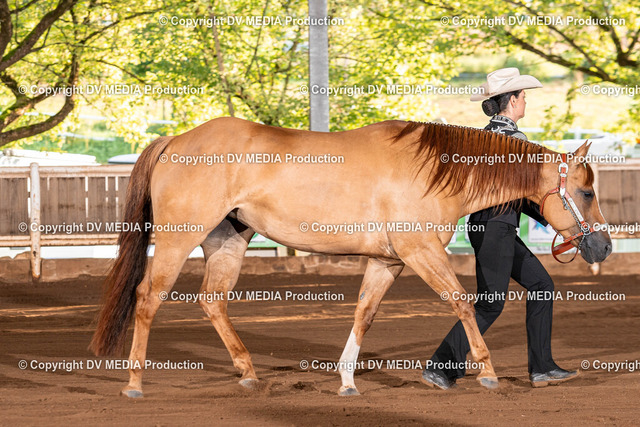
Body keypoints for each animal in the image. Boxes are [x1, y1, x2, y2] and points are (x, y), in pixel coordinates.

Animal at [89, 117, 612, 397]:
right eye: (585, 192)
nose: (603, 246)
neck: (433, 170)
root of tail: (175, 141)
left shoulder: (388, 262)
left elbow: (364, 314)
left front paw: (346, 382)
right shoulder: (421, 252)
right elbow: (463, 303)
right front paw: (485, 372)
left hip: (228, 241)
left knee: (212, 301)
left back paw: (249, 375)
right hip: (178, 240)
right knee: (148, 297)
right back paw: (134, 383)